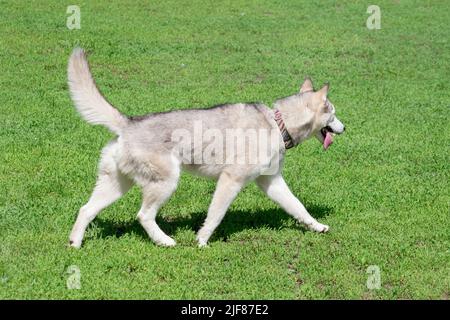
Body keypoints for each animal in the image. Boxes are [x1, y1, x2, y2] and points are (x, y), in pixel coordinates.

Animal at [68, 48, 346, 248]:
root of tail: (127, 123)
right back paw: (164, 241)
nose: (345, 128)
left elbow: (298, 207)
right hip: (166, 182)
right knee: (143, 215)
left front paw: (317, 226)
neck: (278, 124)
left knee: (86, 209)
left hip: (116, 184)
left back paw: (75, 244)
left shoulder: (272, 181)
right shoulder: (230, 180)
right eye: (333, 113)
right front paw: (201, 240)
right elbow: (215, 215)